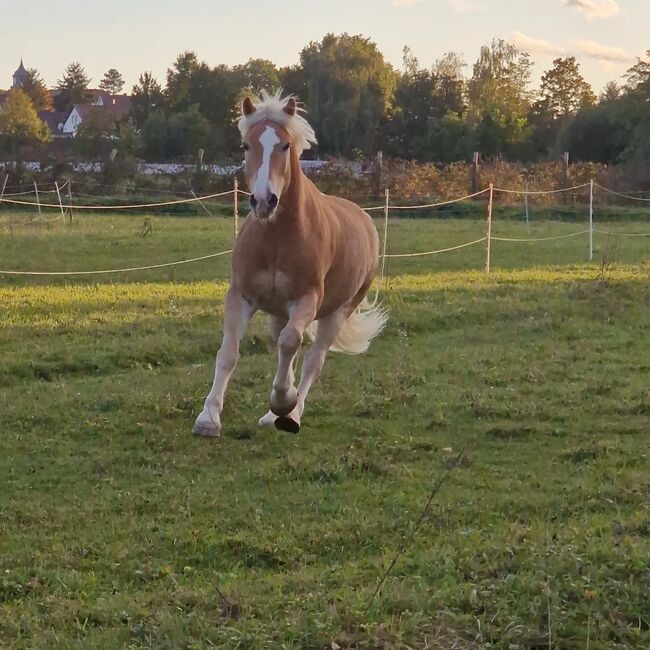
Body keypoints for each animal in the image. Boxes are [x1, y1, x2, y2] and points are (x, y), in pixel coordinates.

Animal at [191, 90, 384, 436]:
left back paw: (289, 413)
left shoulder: (306, 299)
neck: (277, 237)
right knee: (286, 351)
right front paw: (208, 418)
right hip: (278, 312)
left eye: (285, 145)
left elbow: (293, 344)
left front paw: (284, 401)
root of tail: (364, 217)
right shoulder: (241, 295)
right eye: (246, 145)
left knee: (311, 360)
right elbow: (228, 353)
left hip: (337, 312)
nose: (263, 200)